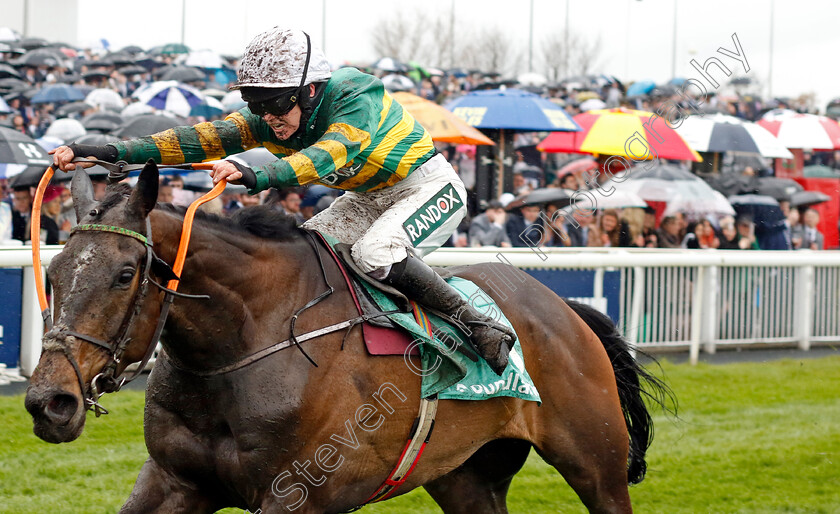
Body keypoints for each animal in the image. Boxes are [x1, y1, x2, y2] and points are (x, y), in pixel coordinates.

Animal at [23, 161, 672, 512]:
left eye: (124, 275)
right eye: (53, 272)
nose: (49, 402)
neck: (243, 344)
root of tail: (564, 308)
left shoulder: (297, 496)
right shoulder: (173, 480)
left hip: (597, 465)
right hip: (468, 477)